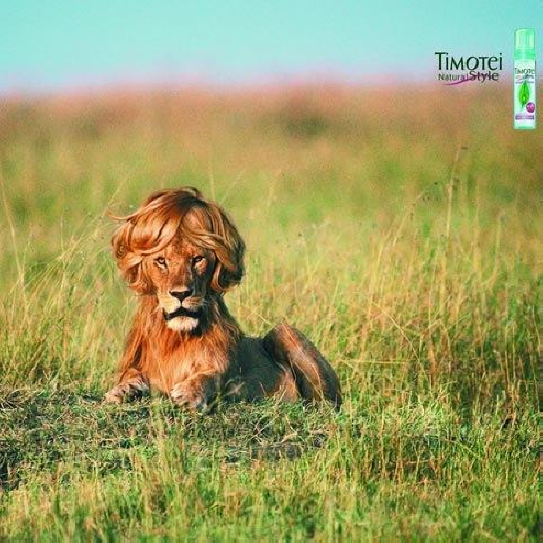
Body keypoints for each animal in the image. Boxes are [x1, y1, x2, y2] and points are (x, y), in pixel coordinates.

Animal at [104, 187, 342, 412]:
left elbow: (211, 376)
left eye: (197, 259)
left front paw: (190, 393)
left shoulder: (230, 376)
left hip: (283, 331)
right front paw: (123, 390)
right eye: (161, 261)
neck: (174, 338)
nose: (181, 294)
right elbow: (131, 374)